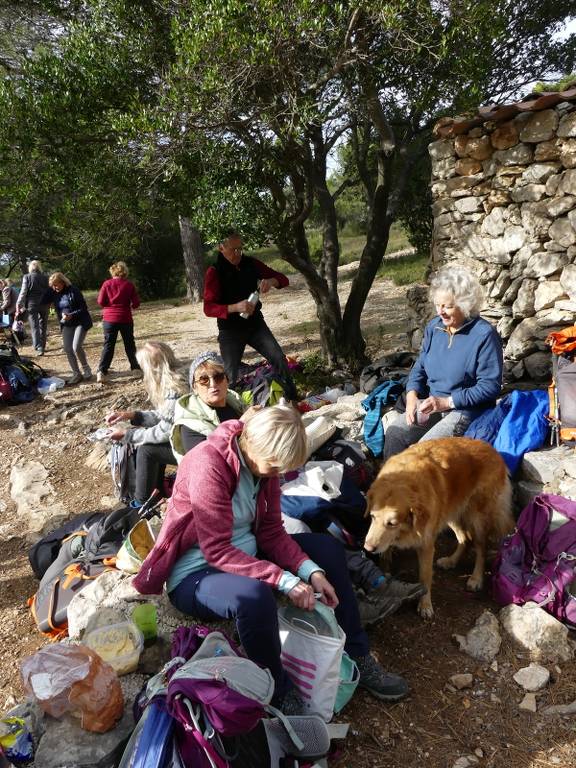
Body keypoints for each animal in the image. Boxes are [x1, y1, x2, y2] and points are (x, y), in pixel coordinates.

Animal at [364, 438, 512, 616]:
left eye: (392, 523)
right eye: (372, 517)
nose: (368, 548)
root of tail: (494, 450)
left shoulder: (426, 544)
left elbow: (425, 577)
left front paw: (425, 605)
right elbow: (385, 553)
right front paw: (385, 572)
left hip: (477, 518)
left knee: (481, 547)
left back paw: (476, 578)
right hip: (450, 513)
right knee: (464, 538)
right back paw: (451, 561)